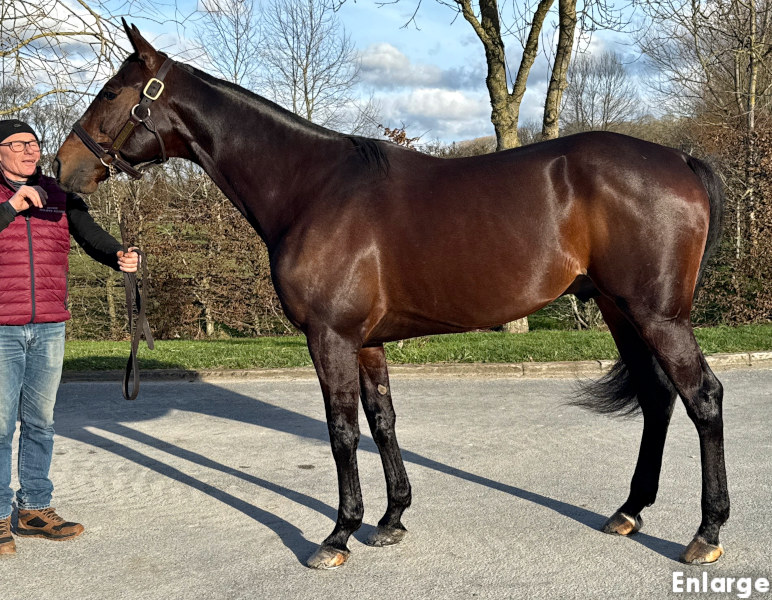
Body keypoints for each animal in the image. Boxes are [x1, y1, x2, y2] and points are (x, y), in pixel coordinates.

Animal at [54, 21, 728, 569]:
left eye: (111, 92)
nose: (63, 168)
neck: (312, 188)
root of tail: (679, 159)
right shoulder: (368, 342)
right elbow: (382, 422)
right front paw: (391, 518)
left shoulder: (329, 337)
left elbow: (342, 432)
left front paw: (338, 534)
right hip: (620, 310)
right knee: (658, 398)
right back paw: (630, 509)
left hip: (656, 315)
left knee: (702, 398)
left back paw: (706, 532)